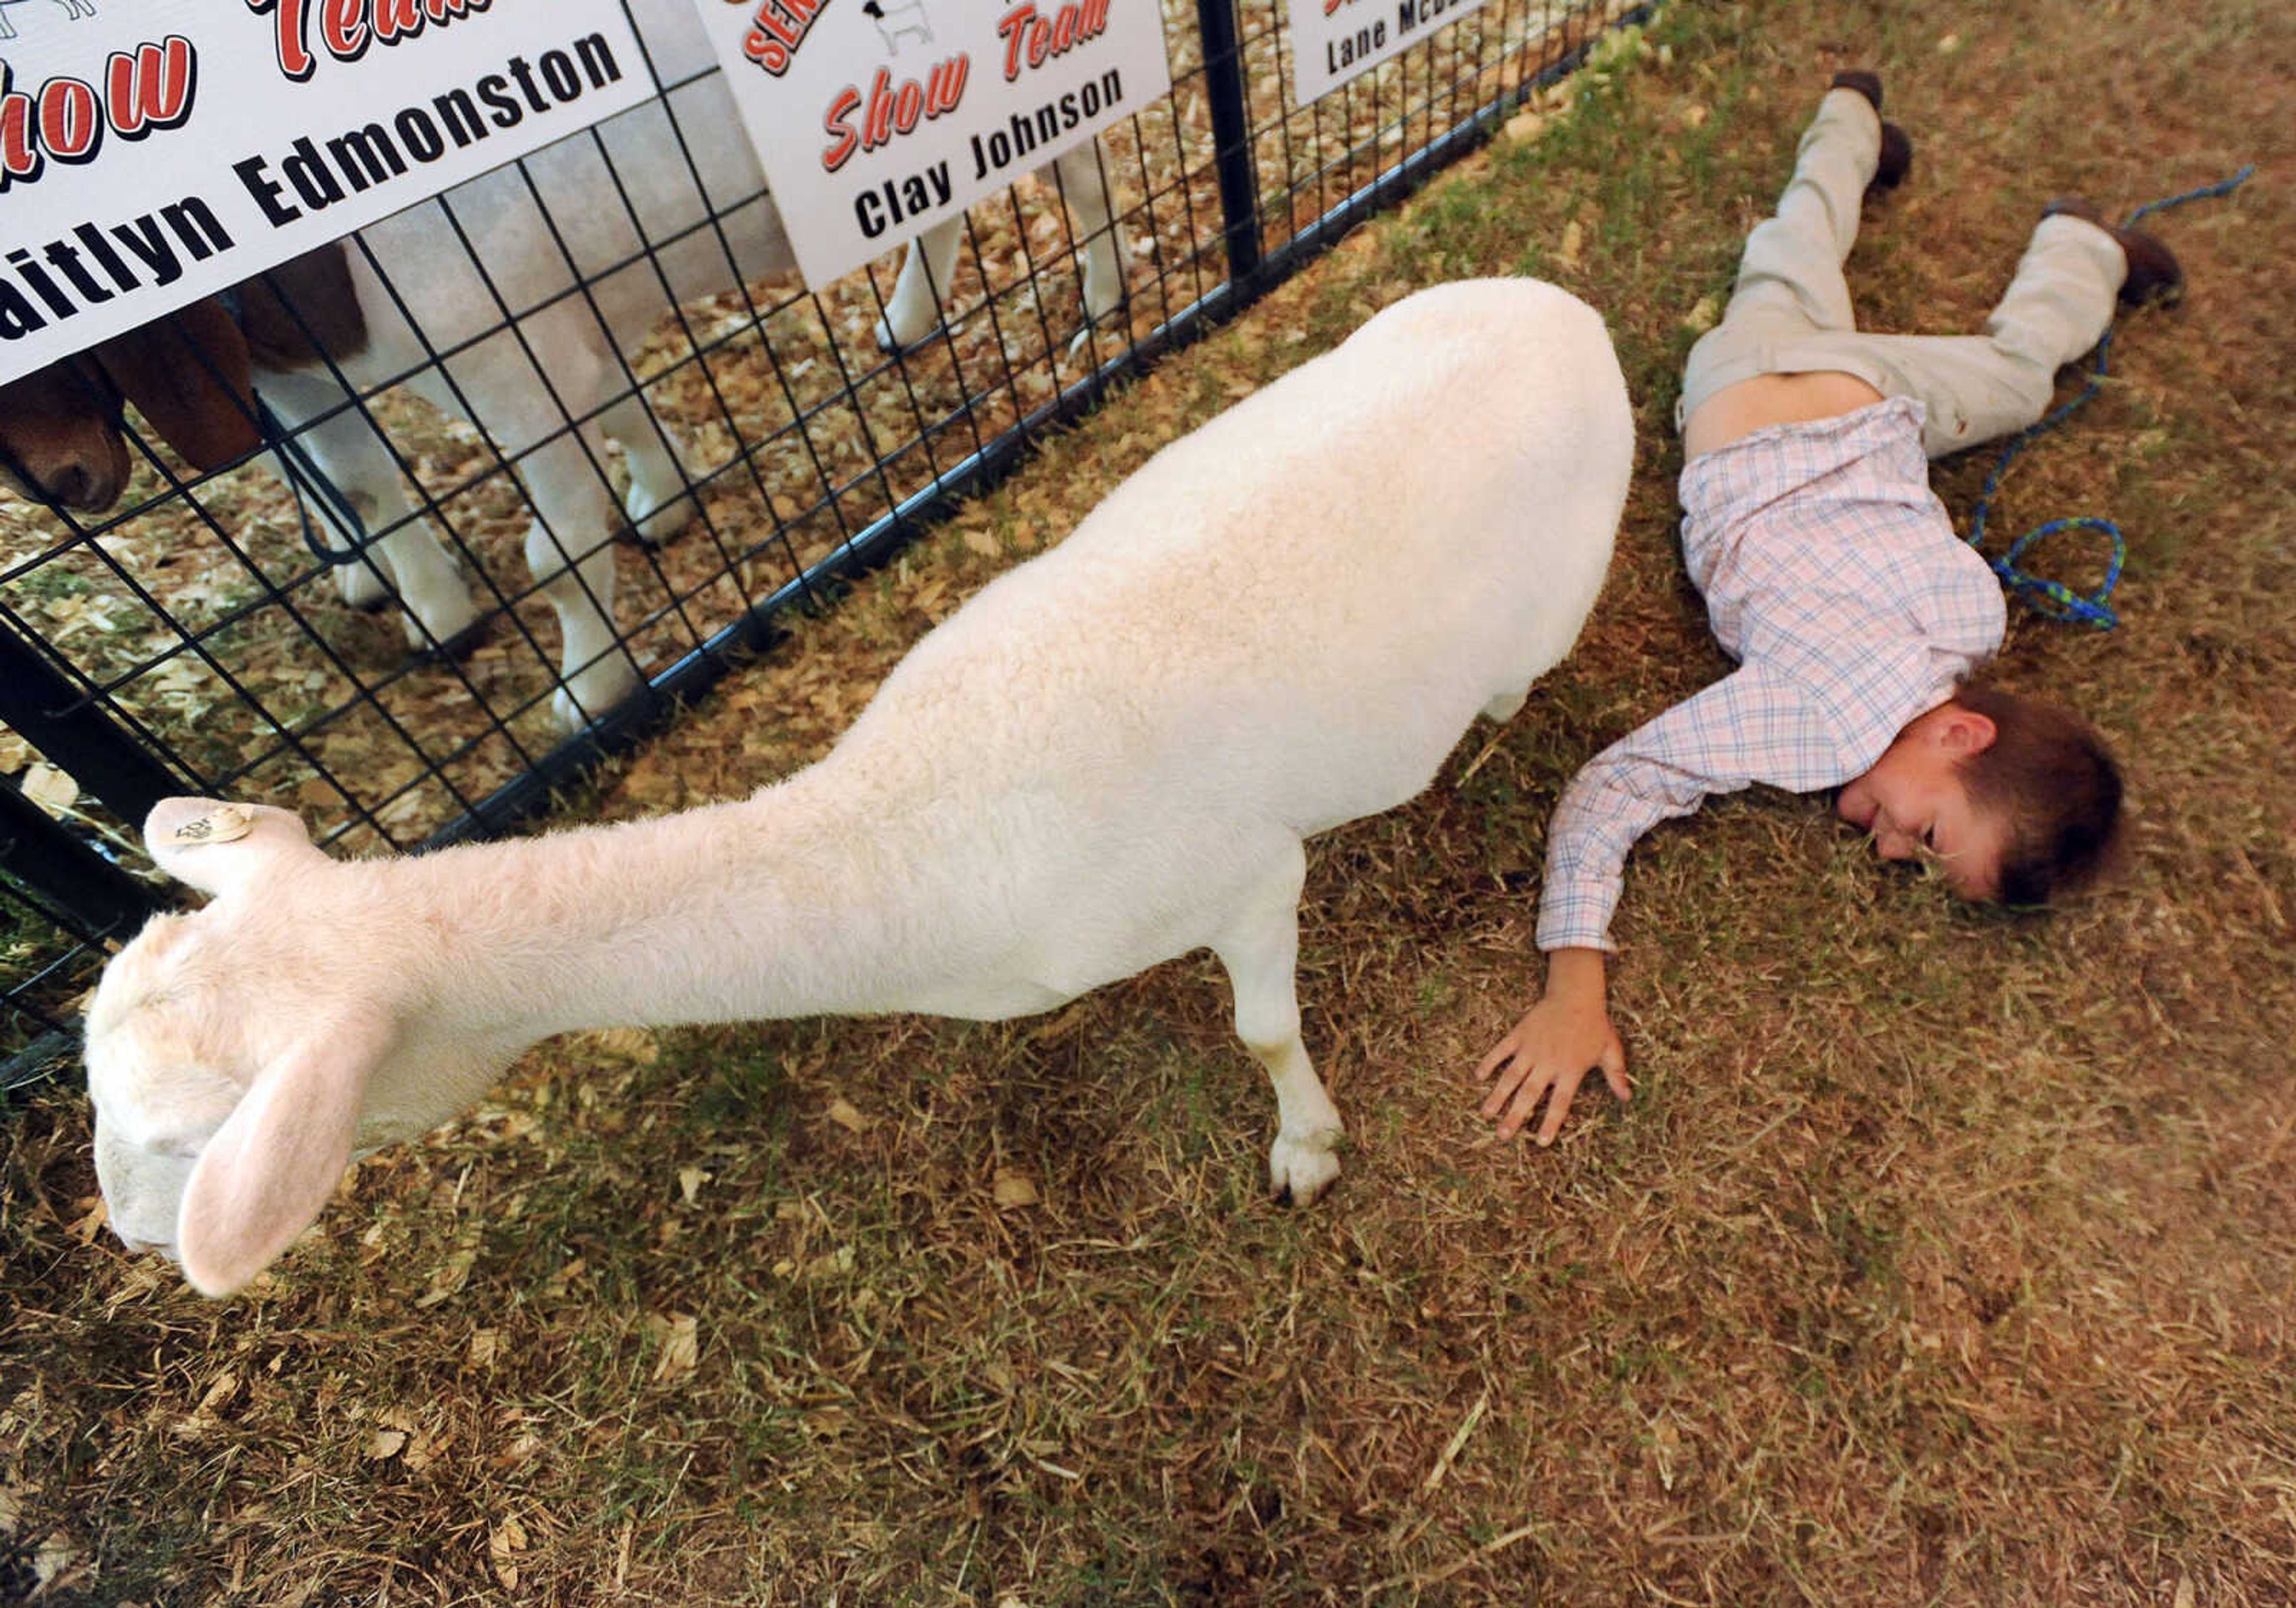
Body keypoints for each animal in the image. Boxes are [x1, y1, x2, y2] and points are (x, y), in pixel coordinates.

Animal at [85, 276, 1635, 1294]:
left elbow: (1261, 1032)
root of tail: (1563, 305)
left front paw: (1306, 1149)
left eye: (185, 1138)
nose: (131, 1238)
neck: (903, 827)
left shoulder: (1248, 878)